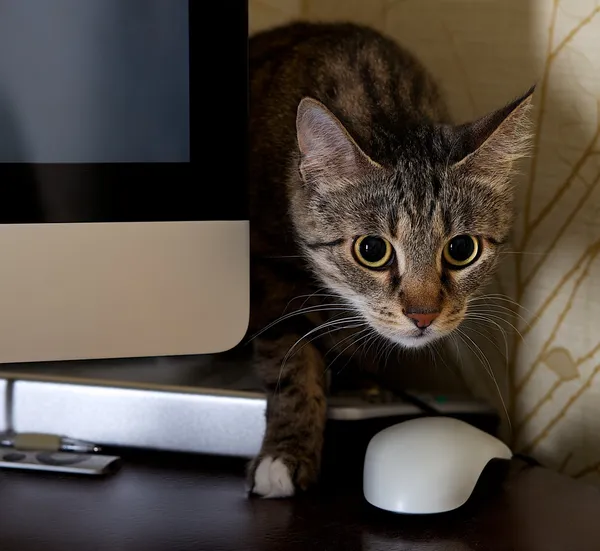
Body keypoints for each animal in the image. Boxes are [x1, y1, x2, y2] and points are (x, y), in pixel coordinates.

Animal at [246, 21, 532, 498]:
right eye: (372, 250)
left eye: (461, 249)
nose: (423, 316)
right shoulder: (267, 270)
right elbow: (292, 358)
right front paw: (285, 454)